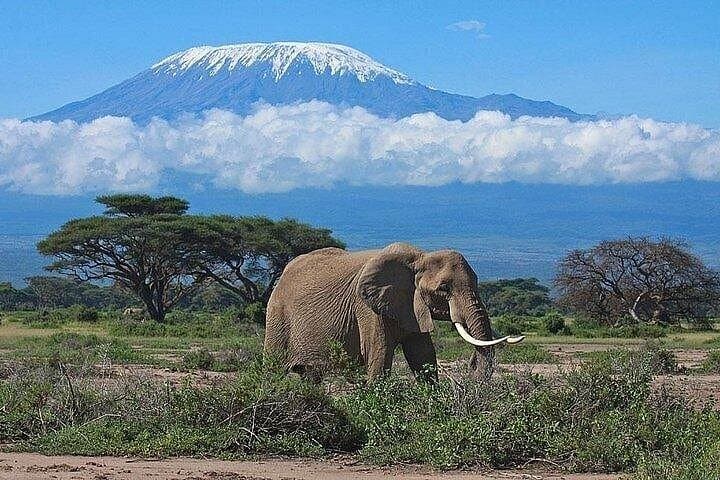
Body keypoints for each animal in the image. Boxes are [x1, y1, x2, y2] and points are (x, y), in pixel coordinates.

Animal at [264, 242, 524, 380]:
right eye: (444, 288)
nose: (471, 364)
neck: (419, 258)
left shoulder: (411, 306)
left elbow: (423, 356)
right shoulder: (367, 308)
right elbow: (379, 356)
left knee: (309, 376)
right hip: (277, 316)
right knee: (274, 369)